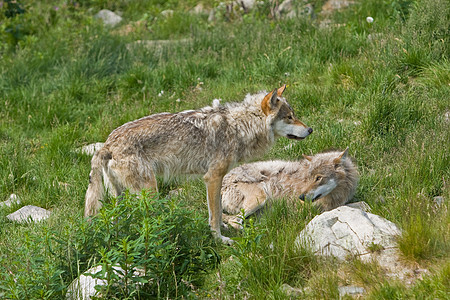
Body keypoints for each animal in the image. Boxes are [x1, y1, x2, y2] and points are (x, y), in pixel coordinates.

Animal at [84, 85, 312, 244]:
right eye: (289, 117)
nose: (310, 129)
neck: (239, 127)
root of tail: (106, 144)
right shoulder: (212, 178)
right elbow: (214, 215)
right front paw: (220, 240)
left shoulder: (218, 180)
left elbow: (218, 211)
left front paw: (225, 229)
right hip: (149, 192)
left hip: (122, 197)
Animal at [221, 148, 358, 230]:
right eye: (309, 178)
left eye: (318, 178)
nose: (301, 197)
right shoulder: (302, 209)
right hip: (260, 198)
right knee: (234, 221)